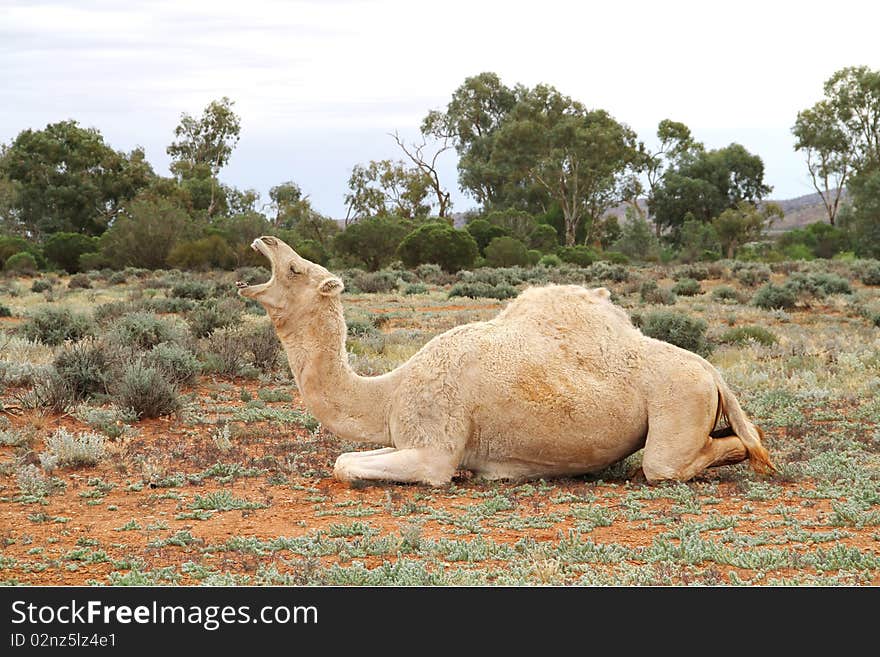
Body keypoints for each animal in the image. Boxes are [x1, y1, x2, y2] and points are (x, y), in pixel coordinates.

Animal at [237, 238, 772, 484]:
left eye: (294, 268)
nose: (265, 240)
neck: (388, 391)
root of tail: (712, 372)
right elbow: (345, 459)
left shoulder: (434, 450)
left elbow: (346, 465)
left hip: (678, 406)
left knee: (674, 463)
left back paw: (742, 455)